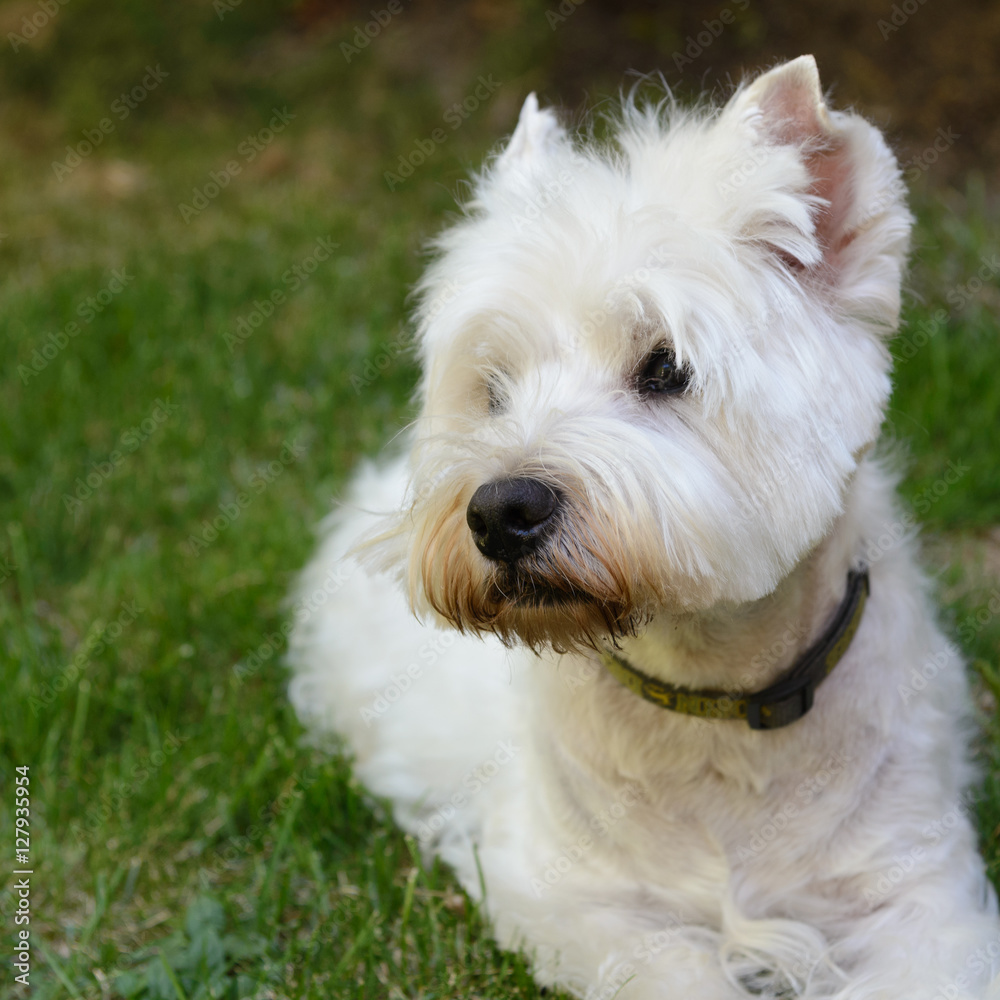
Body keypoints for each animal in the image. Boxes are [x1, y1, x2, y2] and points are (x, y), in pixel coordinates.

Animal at [290, 56, 1000, 1000]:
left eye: (664, 367)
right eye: (493, 387)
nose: (500, 511)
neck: (709, 700)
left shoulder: (921, 891)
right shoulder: (570, 896)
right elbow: (674, 964)